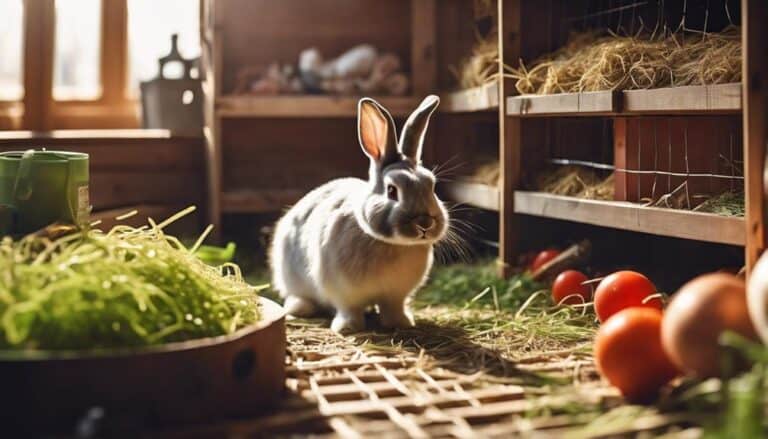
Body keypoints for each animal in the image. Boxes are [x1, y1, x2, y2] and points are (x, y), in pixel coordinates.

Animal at [270, 95, 448, 334]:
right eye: (392, 190)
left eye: (432, 186)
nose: (425, 223)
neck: (391, 243)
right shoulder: (344, 293)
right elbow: (349, 310)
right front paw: (347, 328)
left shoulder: (395, 295)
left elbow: (393, 308)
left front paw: (401, 323)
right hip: (290, 275)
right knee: (296, 296)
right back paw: (301, 308)